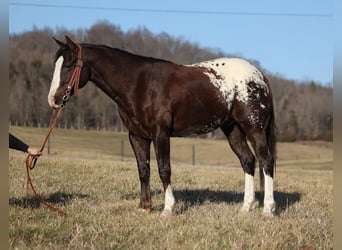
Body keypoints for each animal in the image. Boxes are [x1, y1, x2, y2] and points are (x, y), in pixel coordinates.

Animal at [48, 35, 276, 217]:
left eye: (69, 65)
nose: (54, 99)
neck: (139, 83)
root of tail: (260, 75)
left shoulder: (161, 134)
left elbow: (164, 169)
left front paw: (168, 208)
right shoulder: (137, 136)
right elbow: (143, 170)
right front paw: (144, 207)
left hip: (254, 129)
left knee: (266, 161)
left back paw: (268, 209)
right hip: (233, 128)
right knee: (247, 161)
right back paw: (246, 207)